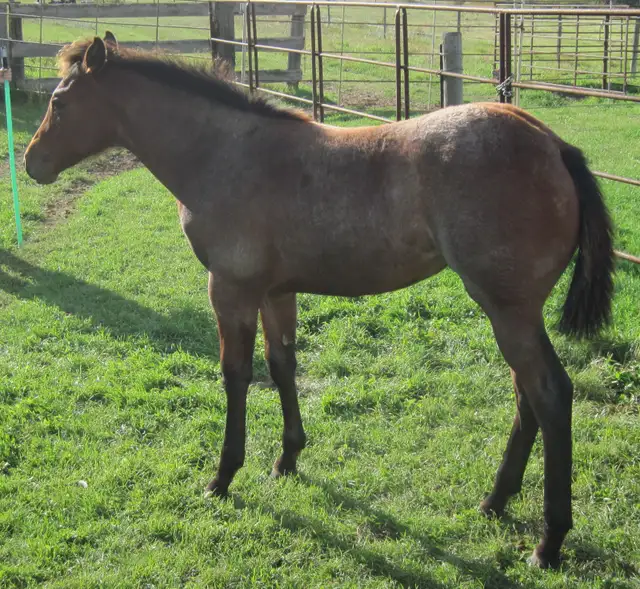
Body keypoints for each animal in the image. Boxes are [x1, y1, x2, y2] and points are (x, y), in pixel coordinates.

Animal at [24, 33, 615, 569]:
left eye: (59, 101)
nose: (32, 163)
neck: (223, 155)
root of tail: (553, 145)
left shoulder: (229, 289)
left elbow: (236, 374)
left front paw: (223, 475)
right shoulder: (275, 291)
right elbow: (281, 364)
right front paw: (287, 458)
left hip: (508, 308)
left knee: (549, 394)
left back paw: (549, 541)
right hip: (511, 311)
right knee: (526, 396)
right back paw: (495, 501)